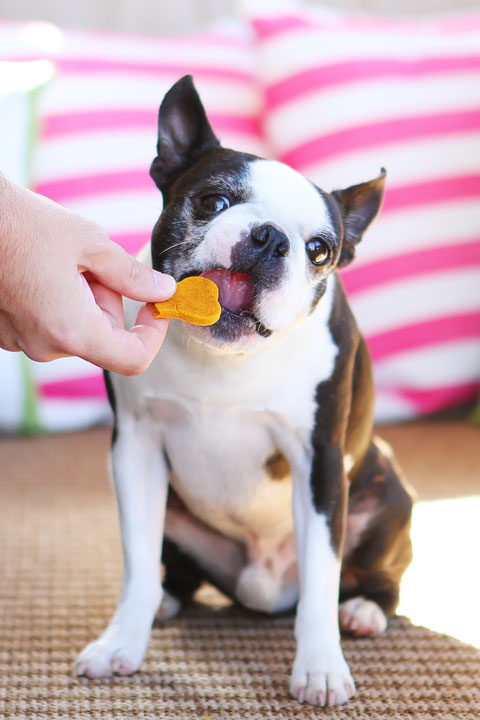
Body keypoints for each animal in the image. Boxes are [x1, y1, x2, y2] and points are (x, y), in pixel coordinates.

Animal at [75, 76, 412, 704]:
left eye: (320, 250)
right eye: (213, 202)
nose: (269, 237)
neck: (223, 360)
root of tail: (261, 590)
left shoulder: (319, 461)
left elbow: (322, 577)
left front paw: (320, 666)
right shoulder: (135, 447)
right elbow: (137, 565)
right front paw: (121, 642)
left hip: (388, 495)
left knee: (375, 578)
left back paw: (363, 611)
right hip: (176, 509)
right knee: (173, 569)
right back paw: (167, 602)